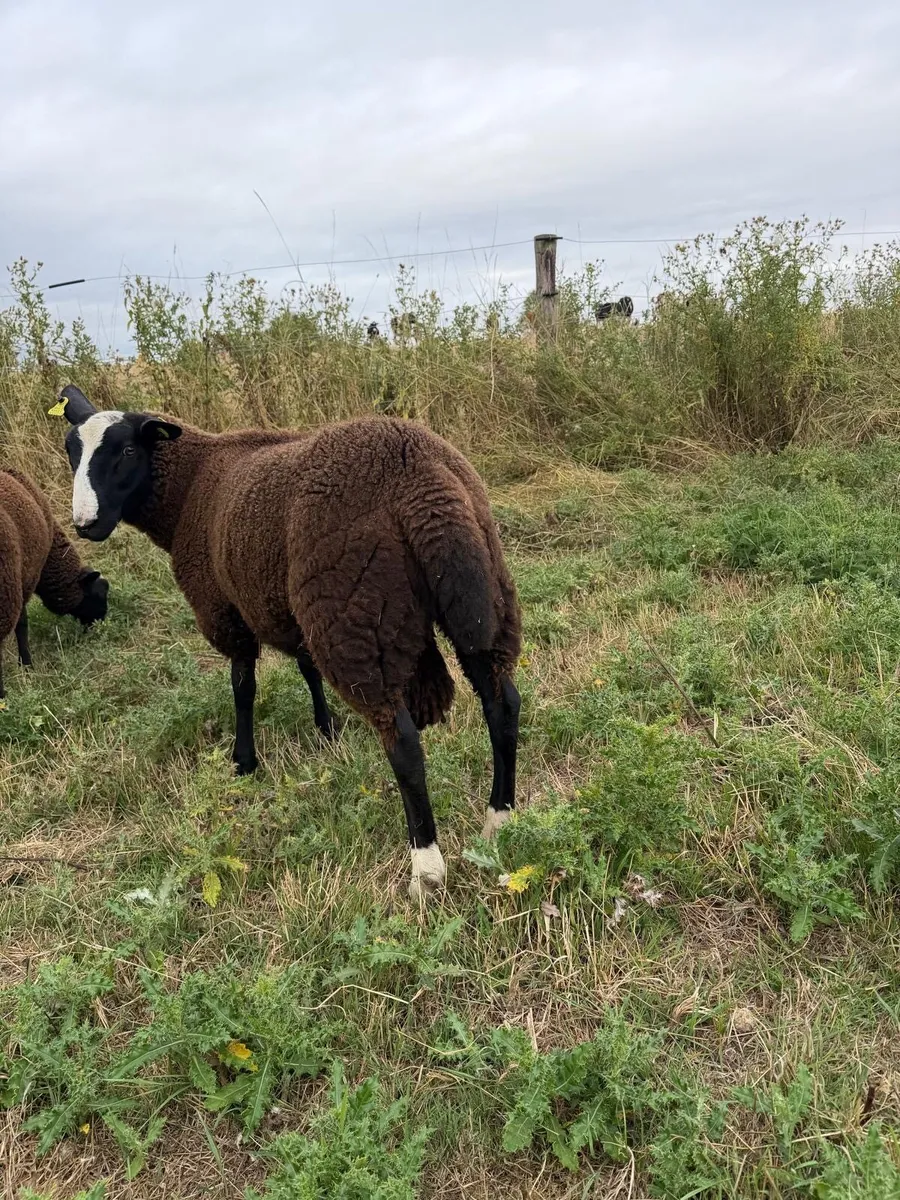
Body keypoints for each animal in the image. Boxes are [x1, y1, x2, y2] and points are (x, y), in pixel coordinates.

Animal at [53, 385, 522, 900]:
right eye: (71, 451)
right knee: (502, 703)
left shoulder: (227, 611)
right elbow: (306, 668)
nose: (84, 524)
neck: (190, 488)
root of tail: (420, 475)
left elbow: (242, 687)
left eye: (127, 451)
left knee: (403, 742)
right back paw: (499, 819)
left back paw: (426, 868)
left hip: (352, 613)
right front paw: (326, 729)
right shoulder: (286, 607)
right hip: (479, 595)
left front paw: (244, 762)